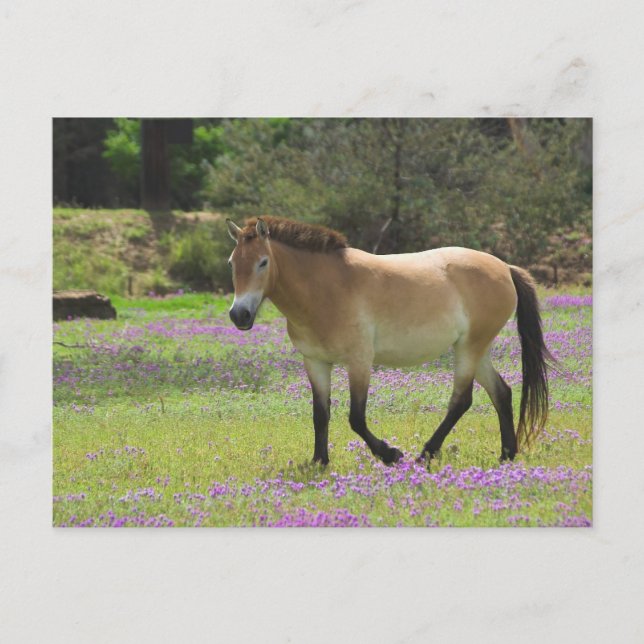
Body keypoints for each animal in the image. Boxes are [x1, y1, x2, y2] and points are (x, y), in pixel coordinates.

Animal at [225, 216, 550, 466]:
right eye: (232, 263)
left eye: (263, 262)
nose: (239, 315)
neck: (325, 290)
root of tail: (505, 268)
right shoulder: (315, 362)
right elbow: (320, 413)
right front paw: (319, 461)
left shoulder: (359, 361)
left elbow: (356, 418)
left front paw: (390, 454)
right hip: (476, 349)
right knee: (502, 393)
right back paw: (507, 454)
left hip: (470, 348)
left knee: (462, 400)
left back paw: (426, 453)